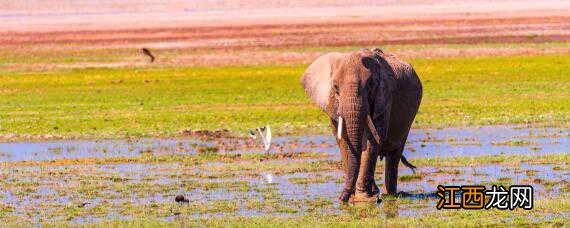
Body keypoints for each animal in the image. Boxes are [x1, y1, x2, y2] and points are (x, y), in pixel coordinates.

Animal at [300, 47, 420, 202]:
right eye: (335, 87)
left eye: (370, 85)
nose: (341, 198)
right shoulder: (332, 104)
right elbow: (343, 142)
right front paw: (356, 196)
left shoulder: (385, 98)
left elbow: (371, 141)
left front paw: (362, 198)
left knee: (394, 153)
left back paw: (389, 194)